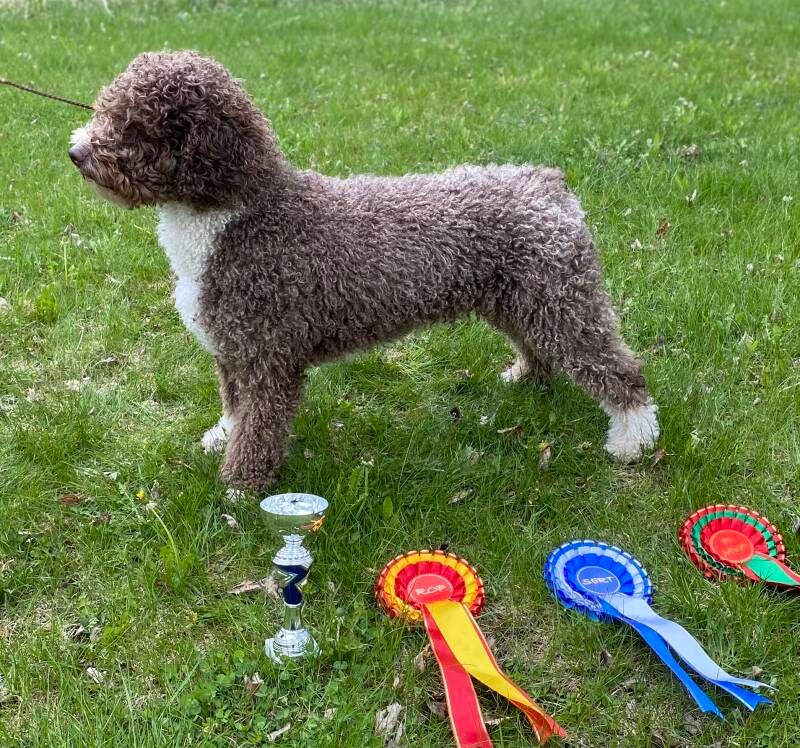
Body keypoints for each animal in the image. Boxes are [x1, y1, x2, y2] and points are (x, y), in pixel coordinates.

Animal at [69, 51, 659, 492]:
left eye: (134, 125)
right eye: (108, 108)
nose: (76, 151)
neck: (244, 214)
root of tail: (547, 182)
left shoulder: (267, 356)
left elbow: (259, 428)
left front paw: (240, 486)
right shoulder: (231, 349)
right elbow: (235, 409)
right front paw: (221, 436)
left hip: (561, 301)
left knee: (619, 370)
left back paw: (633, 439)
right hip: (521, 299)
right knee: (540, 349)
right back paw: (526, 378)